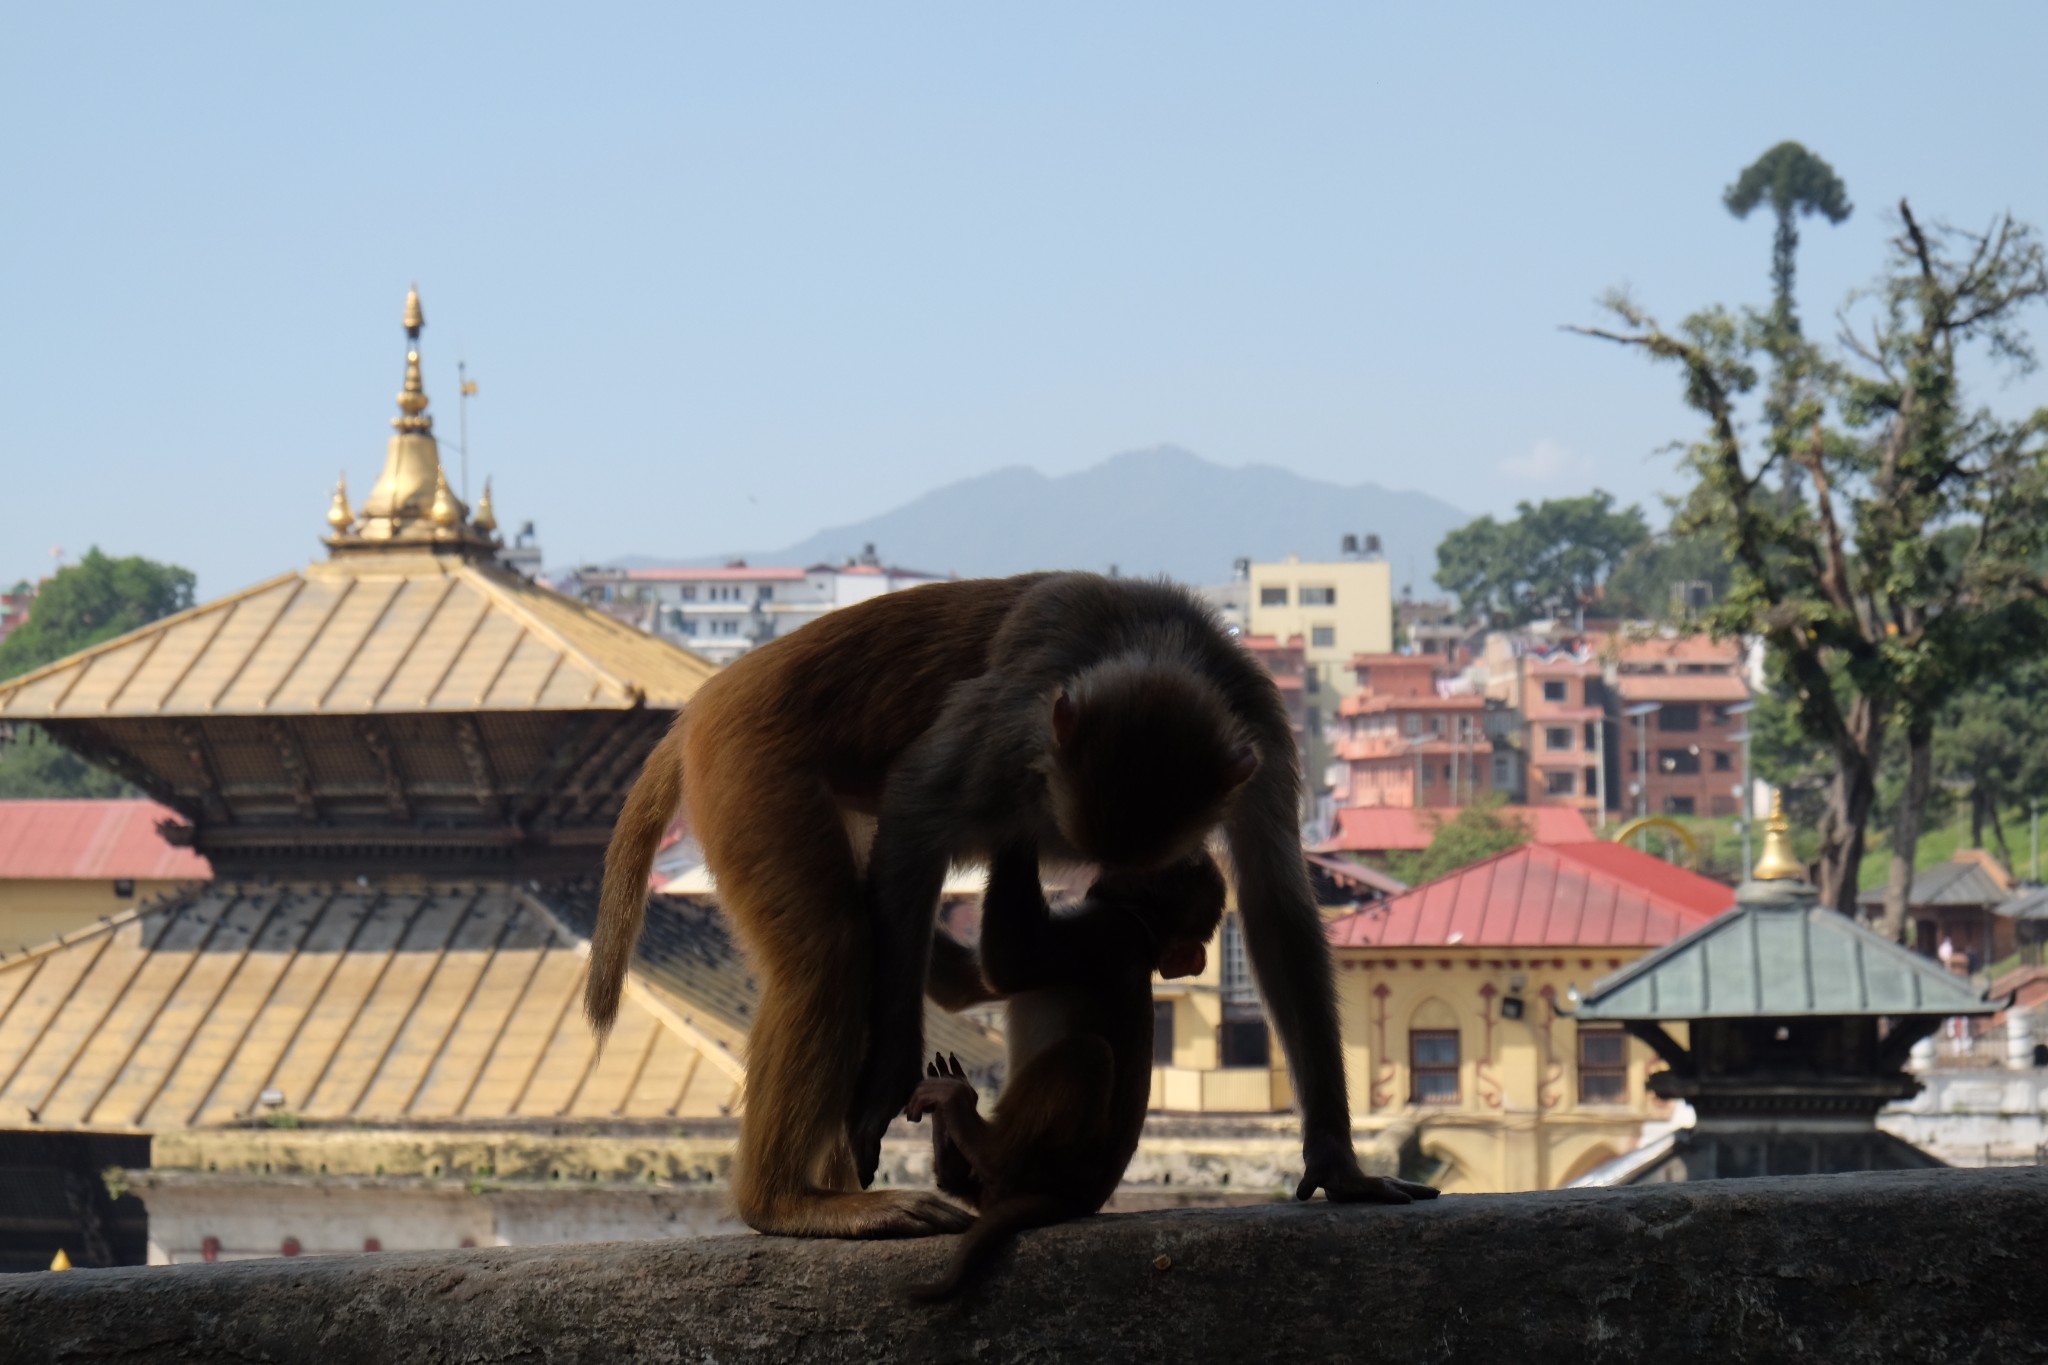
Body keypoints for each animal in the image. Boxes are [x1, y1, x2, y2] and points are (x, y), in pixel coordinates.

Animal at [905, 843, 1220, 1301]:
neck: (1142, 932)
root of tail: (1077, 1201)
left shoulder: (1104, 932)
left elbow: (1011, 963)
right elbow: (963, 985)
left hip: (1053, 1163)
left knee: (1088, 1054)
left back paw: (974, 1136)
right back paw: (951, 1158)